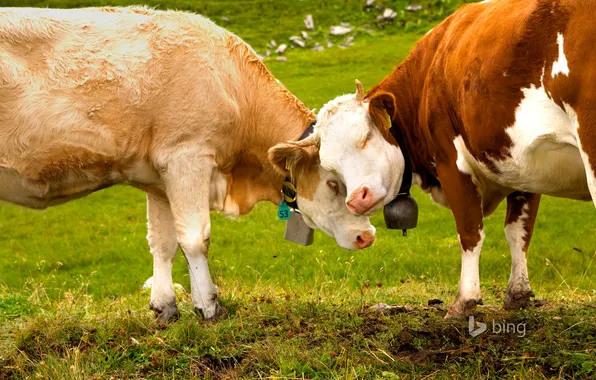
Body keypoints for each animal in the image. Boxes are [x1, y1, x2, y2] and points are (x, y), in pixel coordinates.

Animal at [0, 7, 374, 322]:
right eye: (332, 183)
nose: (367, 236)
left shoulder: (157, 178)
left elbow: (163, 242)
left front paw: (165, 306)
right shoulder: (186, 156)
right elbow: (195, 237)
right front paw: (207, 305)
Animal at [304, 0, 592, 316]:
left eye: (366, 137)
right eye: (330, 167)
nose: (357, 199)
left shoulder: (451, 162)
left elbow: (469, 231)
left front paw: (464, 301)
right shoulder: (521, 166)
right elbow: (518, 232)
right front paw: (518, 293)